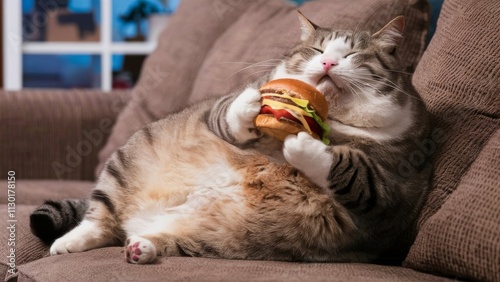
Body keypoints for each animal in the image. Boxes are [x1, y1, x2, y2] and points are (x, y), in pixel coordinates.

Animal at [30, 13, 430, 264]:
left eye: (352, 54)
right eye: (317, 50)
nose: (329, 63)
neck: (332, 120)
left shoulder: (391, 185)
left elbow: (349, 167)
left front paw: (303, 146)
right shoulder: (220, 110)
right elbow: (229, 114)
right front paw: (252, 103)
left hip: (213, 240)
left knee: (149, 237)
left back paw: (141, 248)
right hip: (124, 164)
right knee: (100, 220)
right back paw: (67, 243)